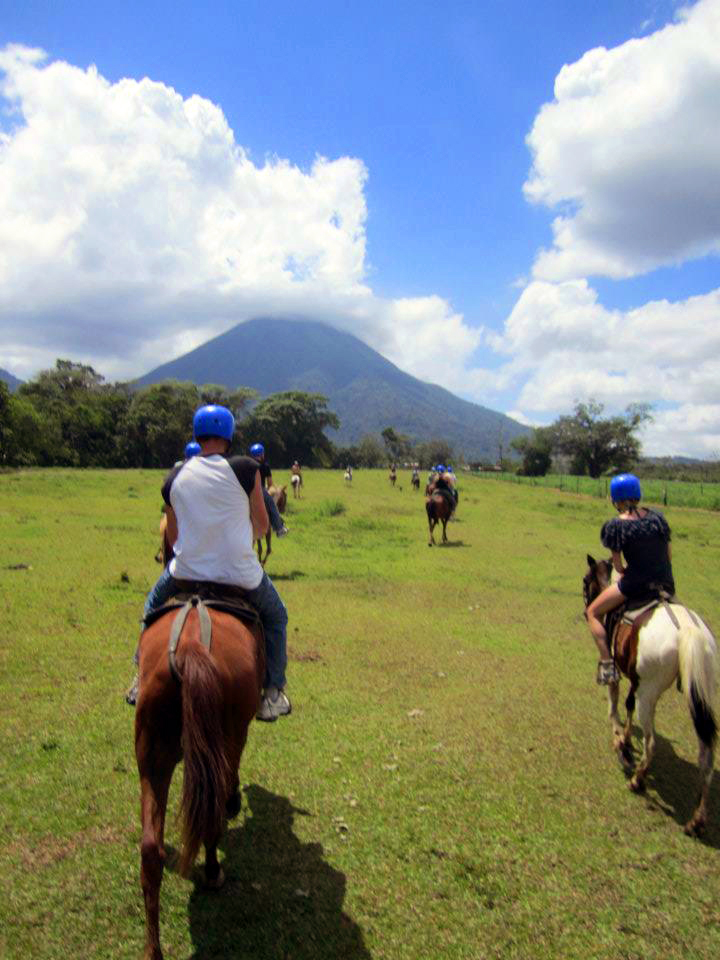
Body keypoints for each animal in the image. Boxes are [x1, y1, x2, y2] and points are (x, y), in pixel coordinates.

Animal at [134, 596, 262, 956]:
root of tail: (191, 644)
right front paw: (235, 801)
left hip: (152, 755)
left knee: (151, 850)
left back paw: (153, 950)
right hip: (228, 738)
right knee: (211, 815)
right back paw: (214, 871)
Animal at [584, 556, 716, 832]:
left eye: (585, 580)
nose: (585, 609)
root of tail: (688, 629)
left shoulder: (618, 667)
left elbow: (614, 703)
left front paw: (620, 742)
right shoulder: (636, 679)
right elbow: (628, 704)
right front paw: (624, 738)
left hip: (650, 692)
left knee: (651, 742)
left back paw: (637, 780)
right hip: (702, 691)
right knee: (707, 756)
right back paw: (697, 820)